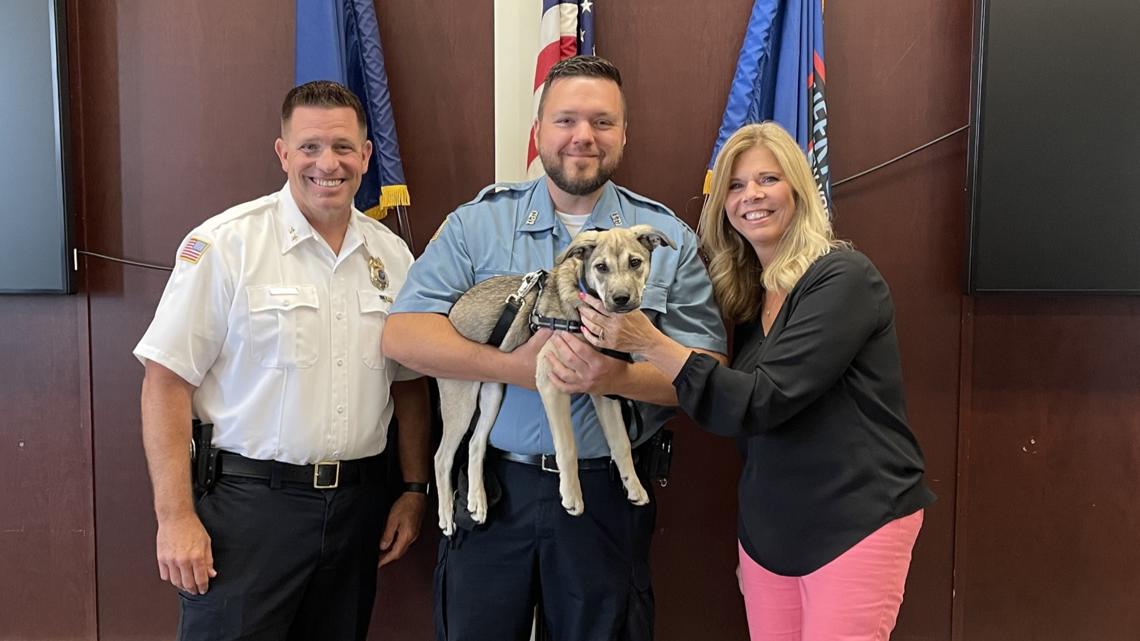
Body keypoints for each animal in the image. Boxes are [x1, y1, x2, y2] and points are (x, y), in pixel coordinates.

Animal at [430, 224, 670, 533]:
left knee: (475, 443)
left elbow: (621, 443)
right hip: (461, 398)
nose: (621, 299)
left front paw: (634, 486)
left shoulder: (602, 388)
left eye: (635, 262)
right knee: (442, 457)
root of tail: (452, 312)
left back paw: (477, 503)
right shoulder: (551, 382)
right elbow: (567, 446)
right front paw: (571, 496)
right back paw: (446, 517)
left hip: (493, 392)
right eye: (601, 267)